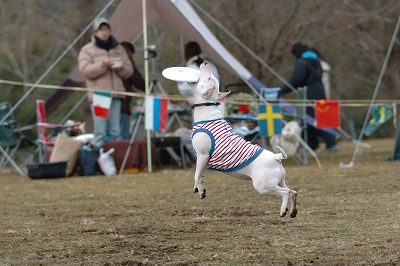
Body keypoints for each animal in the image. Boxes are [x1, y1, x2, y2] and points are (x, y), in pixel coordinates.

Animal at [188, 64, 296, 218]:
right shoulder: (202, 161)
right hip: (279, 182)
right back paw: (292, 211)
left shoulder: (202, 155)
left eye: (209, 78)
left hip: (263, 186)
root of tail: (276, 157)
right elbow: (200, 175)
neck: (207, 109)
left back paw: (283, 210)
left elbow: (196, 175)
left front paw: (200, 191)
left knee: (286, 193)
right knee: (293, 192)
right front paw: (199, 188)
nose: (205, 64)